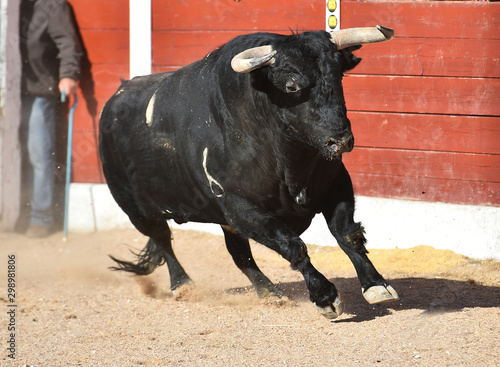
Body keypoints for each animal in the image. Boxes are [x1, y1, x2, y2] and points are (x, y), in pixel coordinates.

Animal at [99, 25, 400, 320]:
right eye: (291, 86)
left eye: (338, 77)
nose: (340, 140)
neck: (291, 161)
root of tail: (115, 98)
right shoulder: (241, 206)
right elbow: (292, 245)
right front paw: (325, 296)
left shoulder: (336, 183)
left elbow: (346, 233)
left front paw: (376, 285)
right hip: (138, 211)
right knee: (164, 241)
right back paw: (184, 286)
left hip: (222, 220)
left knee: (238, 254)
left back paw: (270, 293)